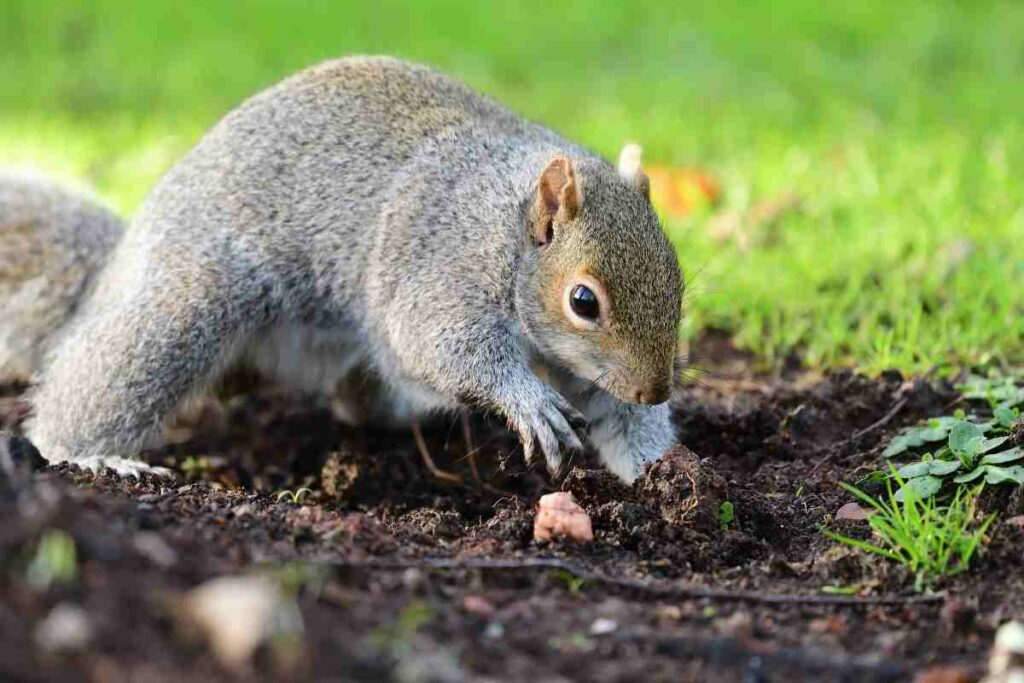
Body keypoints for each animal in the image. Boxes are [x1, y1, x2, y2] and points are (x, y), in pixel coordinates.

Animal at [23, 56, 684, 482]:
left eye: (678, 278)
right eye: (583, 301)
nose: (655, 389)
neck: (508, 227)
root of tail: (121, 261)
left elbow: (619, 417)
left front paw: (660, 473)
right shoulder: (444, 266)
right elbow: (440, 341)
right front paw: (526, 402)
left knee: (358, 397)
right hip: (189, 300)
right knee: (104, 377)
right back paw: (89, 455)